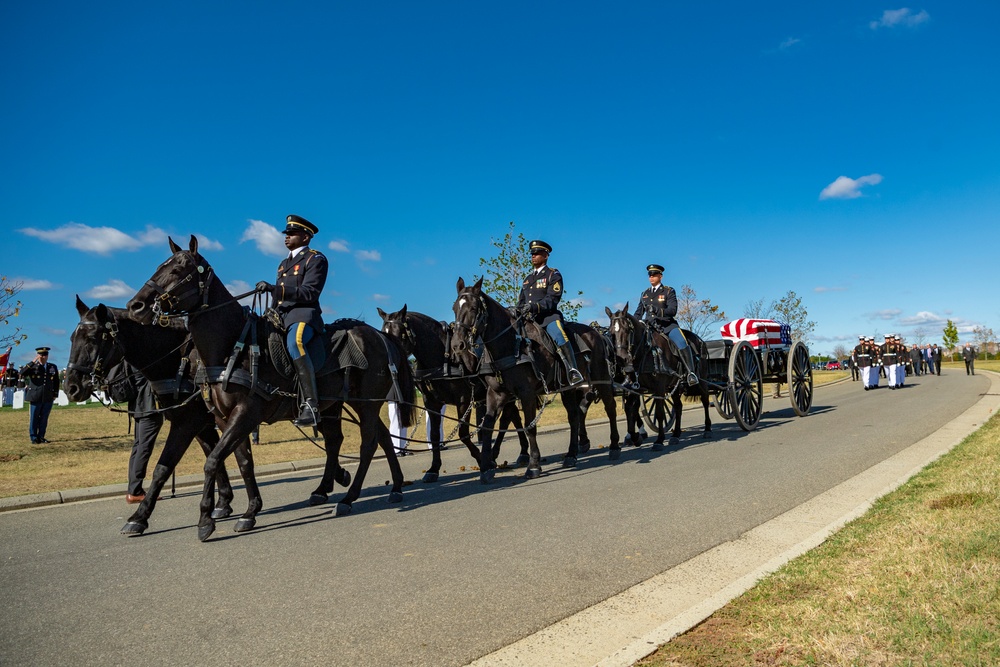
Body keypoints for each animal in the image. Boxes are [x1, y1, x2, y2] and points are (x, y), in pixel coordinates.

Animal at [65, 298, 250, 536]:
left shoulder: (188, 423)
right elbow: (214, 457)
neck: (179, 361)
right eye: (72, 338)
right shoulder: (202, 425)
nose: (71, 387)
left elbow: (163, 468)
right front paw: (223, 503)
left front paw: (139, 517)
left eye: (92, 338)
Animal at [126, 237, 414, 540]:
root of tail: (379, 335)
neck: (230, 347)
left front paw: (205, 519)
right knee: (368, 437)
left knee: (368, 443)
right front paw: (250, 511)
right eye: (161, 265)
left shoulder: (242, 414)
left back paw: (349, 497)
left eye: (179, 269)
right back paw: (389, 486)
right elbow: (241, 462)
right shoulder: (223, 419)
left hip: (365, 403)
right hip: (346, 404)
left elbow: (212, 461)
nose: (136, 306)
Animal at [376, 306, 532, 482]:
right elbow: (434, 435)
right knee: (512, 417)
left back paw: (508, 454)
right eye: (383, 334)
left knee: (507, 419)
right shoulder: (432, 403)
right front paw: (433, 468)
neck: (443, 358)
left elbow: (463, 433)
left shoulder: (464, 401)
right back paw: (515, 452)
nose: (392, 366)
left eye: (398, 334)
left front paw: (481, 459)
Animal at [452, 276, 620, 480]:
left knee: (610, 408)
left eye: (474, 308)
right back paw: (571, 455)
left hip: (601, 379)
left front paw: (533, 464)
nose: (457, 344)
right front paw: (486, 467)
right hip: (567, 388)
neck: (509, 344)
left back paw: (614, 447)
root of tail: (597, 333)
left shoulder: (527, 394)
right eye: (454, 307)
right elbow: (488, 426)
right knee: (574, 416)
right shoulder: (496, 394)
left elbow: (529, 426)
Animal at [600, 308, 712, 448]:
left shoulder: (659, 387)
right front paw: (635, 437)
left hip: (701, 381)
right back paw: (676, 435)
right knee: (678, 406)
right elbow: (630, 409)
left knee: (705, 401)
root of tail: (700, 340)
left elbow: (659, 412)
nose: (621, 359)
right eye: (611, 332)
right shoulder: (635, 388)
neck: (646, 349)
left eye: (627, 329)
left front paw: (659, 440)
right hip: (674, 386)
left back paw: (707, 429)